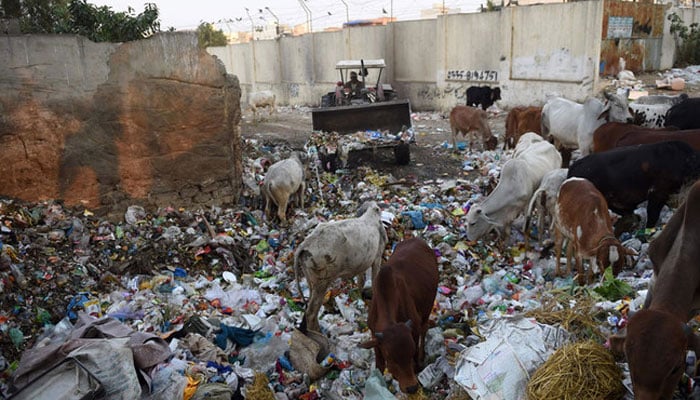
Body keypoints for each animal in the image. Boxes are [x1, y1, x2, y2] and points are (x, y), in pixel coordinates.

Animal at [292, 202, 386, 332]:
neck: (370, 215)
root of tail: (305, 244)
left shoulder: (361, 263)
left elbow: (361, 281)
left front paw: (361, 297)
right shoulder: (377, 257)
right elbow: (373, 279)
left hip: (311, 279)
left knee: (309, 309)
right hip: (322, 281)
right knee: (311, 312)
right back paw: (318, 334)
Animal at [360, 238, 438, 394]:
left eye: (411, 351)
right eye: (391, 358)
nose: (412, 387)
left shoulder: (414, 330)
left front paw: (417, 365)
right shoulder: (375, 337)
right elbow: (379, 366)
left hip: (428, 306)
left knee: (424, 328)